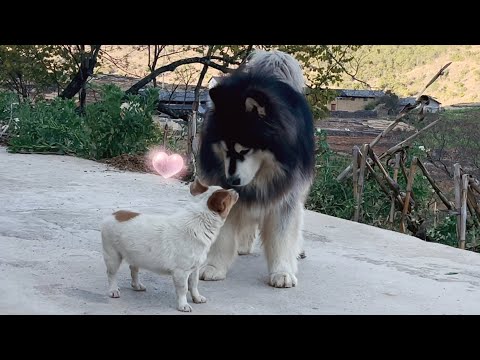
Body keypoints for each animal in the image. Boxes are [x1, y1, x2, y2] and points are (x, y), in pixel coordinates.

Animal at [101, 180, 238, 312]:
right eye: (229, 196)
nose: (235, 189)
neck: (199, 221)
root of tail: (113, 214)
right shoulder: (181, 272)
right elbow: (183, 289)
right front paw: (183, 305)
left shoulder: (195, 269)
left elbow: (194, 285)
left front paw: (197, 297)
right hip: (112, 257)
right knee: (111, 274)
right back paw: (113, 290)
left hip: (135, 256)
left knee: (133, 269)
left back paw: (137, 285)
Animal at [197, 50, 316, 288]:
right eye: (224, 148)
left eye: (245, 149)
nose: (231, 181)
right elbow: (224, 234)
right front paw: (214, 267)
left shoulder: (284, 196)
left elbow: (282, 236)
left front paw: (282, 271)